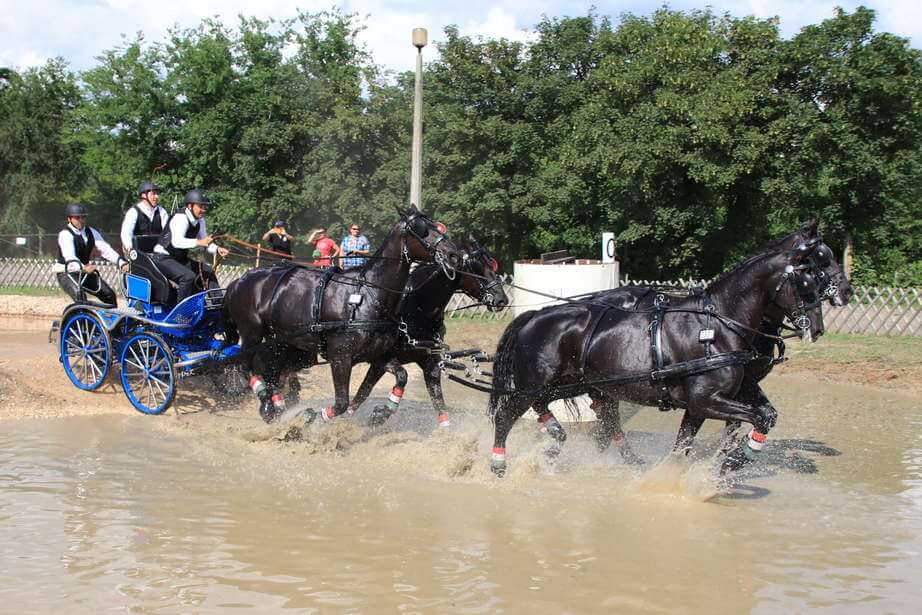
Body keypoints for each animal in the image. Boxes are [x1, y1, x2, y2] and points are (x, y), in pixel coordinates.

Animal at [226, 207, 464, 424]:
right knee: (247, 365)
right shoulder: (340, 357)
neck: (367, 295)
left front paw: (382, 413)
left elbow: (401, 377)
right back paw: (266, 403)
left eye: (437, 225)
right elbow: (341, 403)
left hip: (283, 341)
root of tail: (238, 281)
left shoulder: (377, 354)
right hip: (252, 333)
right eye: (421, 229)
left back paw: (277, 403)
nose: (454, 254)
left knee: (273, 369)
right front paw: (311, 417)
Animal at [346, 241, 510, 428]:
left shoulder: (430, 363)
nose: (502, 299)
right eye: (475, 267)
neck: (415, 309)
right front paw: (374, 415)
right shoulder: (380, 359)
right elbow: (366, 390)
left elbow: (438, 402)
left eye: (491, 264)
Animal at [486, 237, 824, 476]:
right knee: (505, 417)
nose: (817, 327)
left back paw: (562, 438)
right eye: (805, 283)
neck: (717, 325)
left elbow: (691, 442)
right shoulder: (706, 401)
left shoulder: (707, 403)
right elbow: (758, 418)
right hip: (534, 385)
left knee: (592, 420)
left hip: (576, 385)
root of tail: (533, 316)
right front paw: (732, 461)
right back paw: (499, 464)